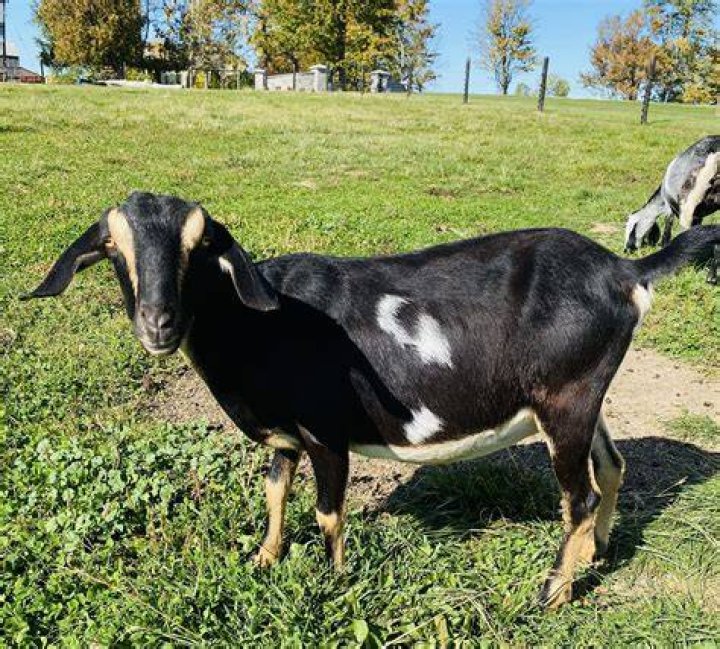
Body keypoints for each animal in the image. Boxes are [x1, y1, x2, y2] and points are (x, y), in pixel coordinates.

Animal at [23, 192, 720, 608]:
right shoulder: (287, 437)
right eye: (114, 250)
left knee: (580, 496)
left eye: (200, 249)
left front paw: (334, 584)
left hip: (566, 398)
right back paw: (596, 555)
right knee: (612, 467)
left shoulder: (325, 431)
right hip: (582, 397)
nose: (159, 324)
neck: (256, 325)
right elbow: (275, 490)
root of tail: (626, 273)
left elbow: (329, 513)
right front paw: (264, 560)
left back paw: (552, 592)